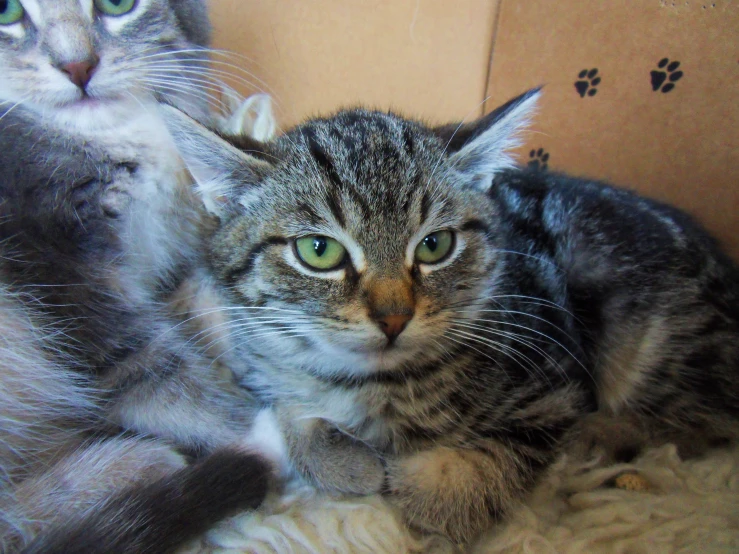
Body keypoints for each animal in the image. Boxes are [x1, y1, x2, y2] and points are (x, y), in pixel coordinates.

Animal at [0, 2, 278, 548]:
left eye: (117, 6)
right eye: (7, 13)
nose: (77, 66)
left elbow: (205, 293)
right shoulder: (60, 279)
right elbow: (146, 365)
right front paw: (264, 431)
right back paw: (137, 465)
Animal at [163, 90, 739, 544]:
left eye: (434, 245)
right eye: (319, 251)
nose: (394, 317)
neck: (373, 385)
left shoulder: (554, 381)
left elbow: (495, 461)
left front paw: (421, 491)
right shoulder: (254, 358)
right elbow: (287, 407)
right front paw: (345, 461)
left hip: (646, 332)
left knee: (702, 422)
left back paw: (601, 437)